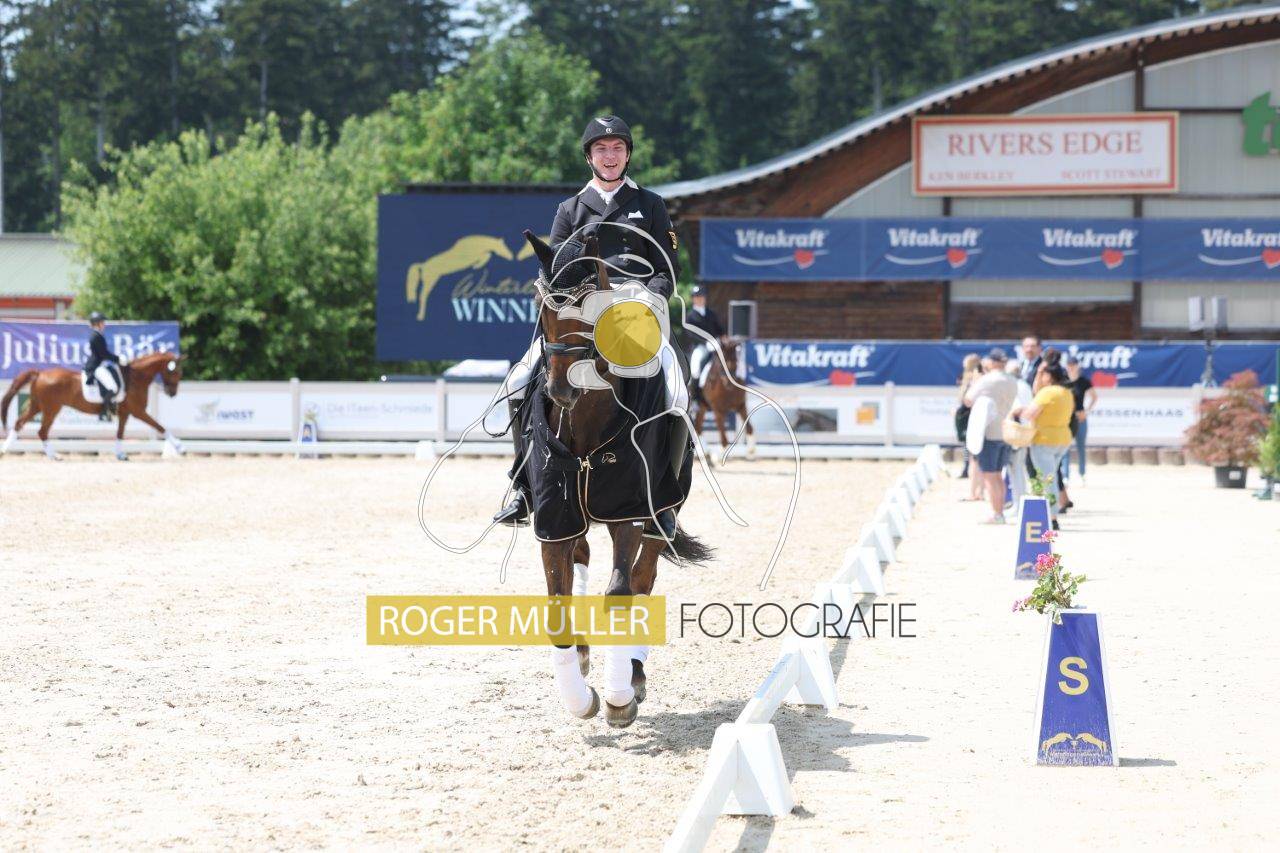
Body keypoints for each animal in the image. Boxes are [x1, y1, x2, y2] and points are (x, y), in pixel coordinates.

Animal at [1, 352, 187, 460]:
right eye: (176, 371)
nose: (172, 393)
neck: (135, 378)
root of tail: (40, 373)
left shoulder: (125, 413)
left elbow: (120, 433)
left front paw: (120, 454)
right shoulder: (138, 411)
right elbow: (160, 426)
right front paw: (180, 447)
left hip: (38, 406)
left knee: (22, 424)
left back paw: (9, 450)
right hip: (50, 409)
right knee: (41, 430)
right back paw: (52, 456)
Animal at [522, 231, 713, 728]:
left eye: (591, 311)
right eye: (542, 308)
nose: (561, 390)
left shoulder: (630, 513)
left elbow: (622, 592)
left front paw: (618, 697)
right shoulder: (554, 519)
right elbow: (556, 606)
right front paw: (578, 697)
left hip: (661, 511)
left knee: (645, 577)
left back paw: (634, 673)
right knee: (582, 559)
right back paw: (587, 655)